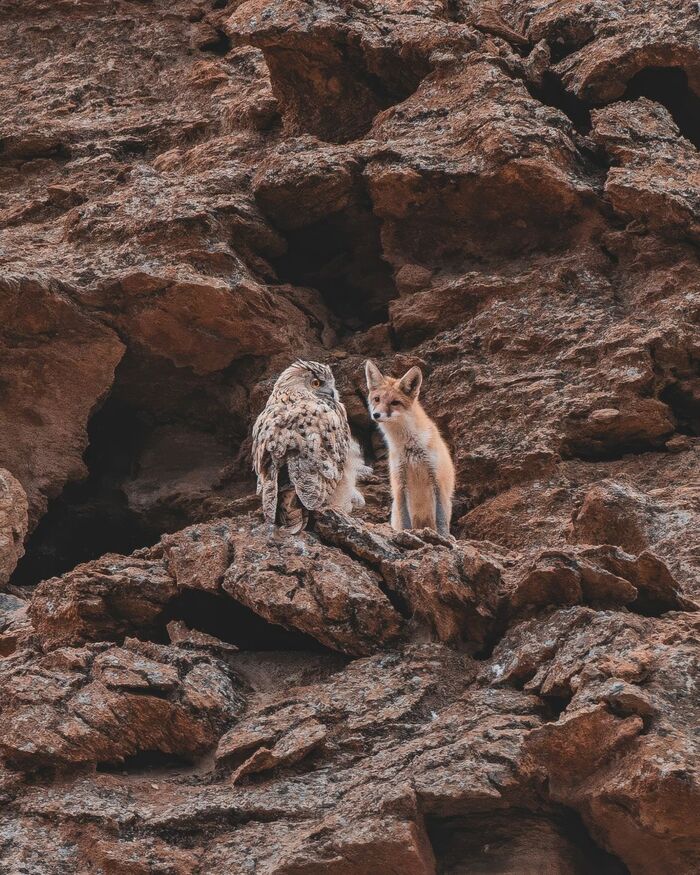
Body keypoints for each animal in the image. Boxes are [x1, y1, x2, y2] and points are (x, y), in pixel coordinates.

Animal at [364, 360, 456, 536]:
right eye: (377, 399)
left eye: (394, 402)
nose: (376, 415)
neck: (410, 446)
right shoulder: (399, 482)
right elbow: (405, 518)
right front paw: (406, 533)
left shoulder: (437, 479)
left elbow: (441, 517)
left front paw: (444, 537)